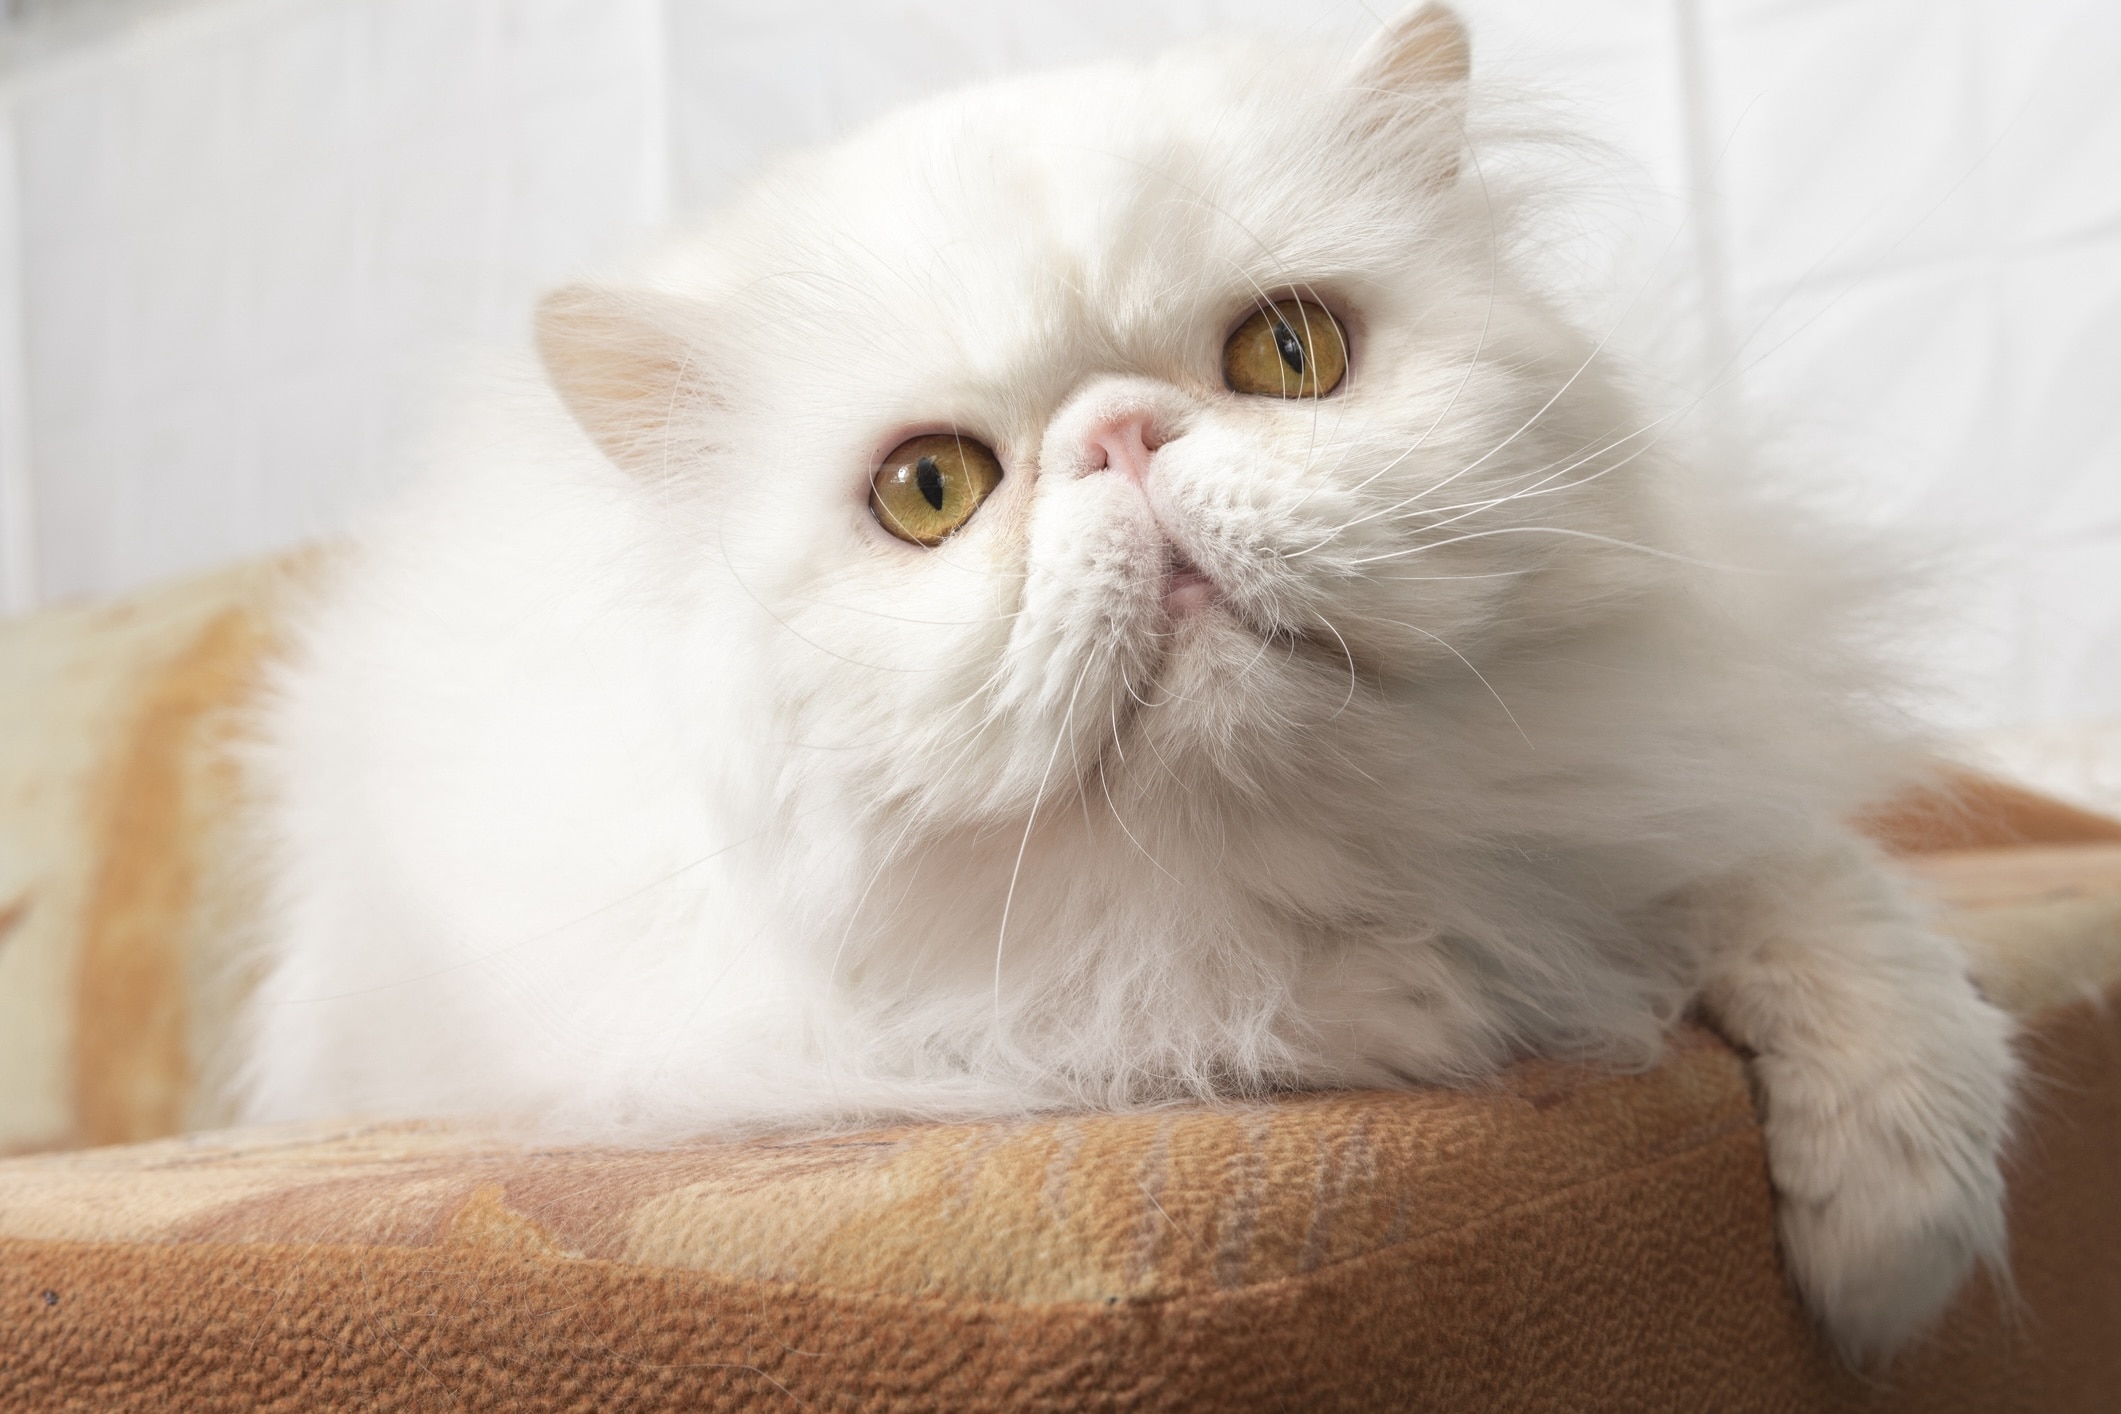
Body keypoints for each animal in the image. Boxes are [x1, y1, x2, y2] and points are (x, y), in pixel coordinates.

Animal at [240, 5, 2010, 1365]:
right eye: (930, 491)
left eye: (1288, 357)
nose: (1120, 436)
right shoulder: (818, 1036)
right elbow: (1162, 1006)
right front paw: (1442, 1008)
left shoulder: (1675, 780)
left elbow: (1850, 944)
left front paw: (1884, 1260)